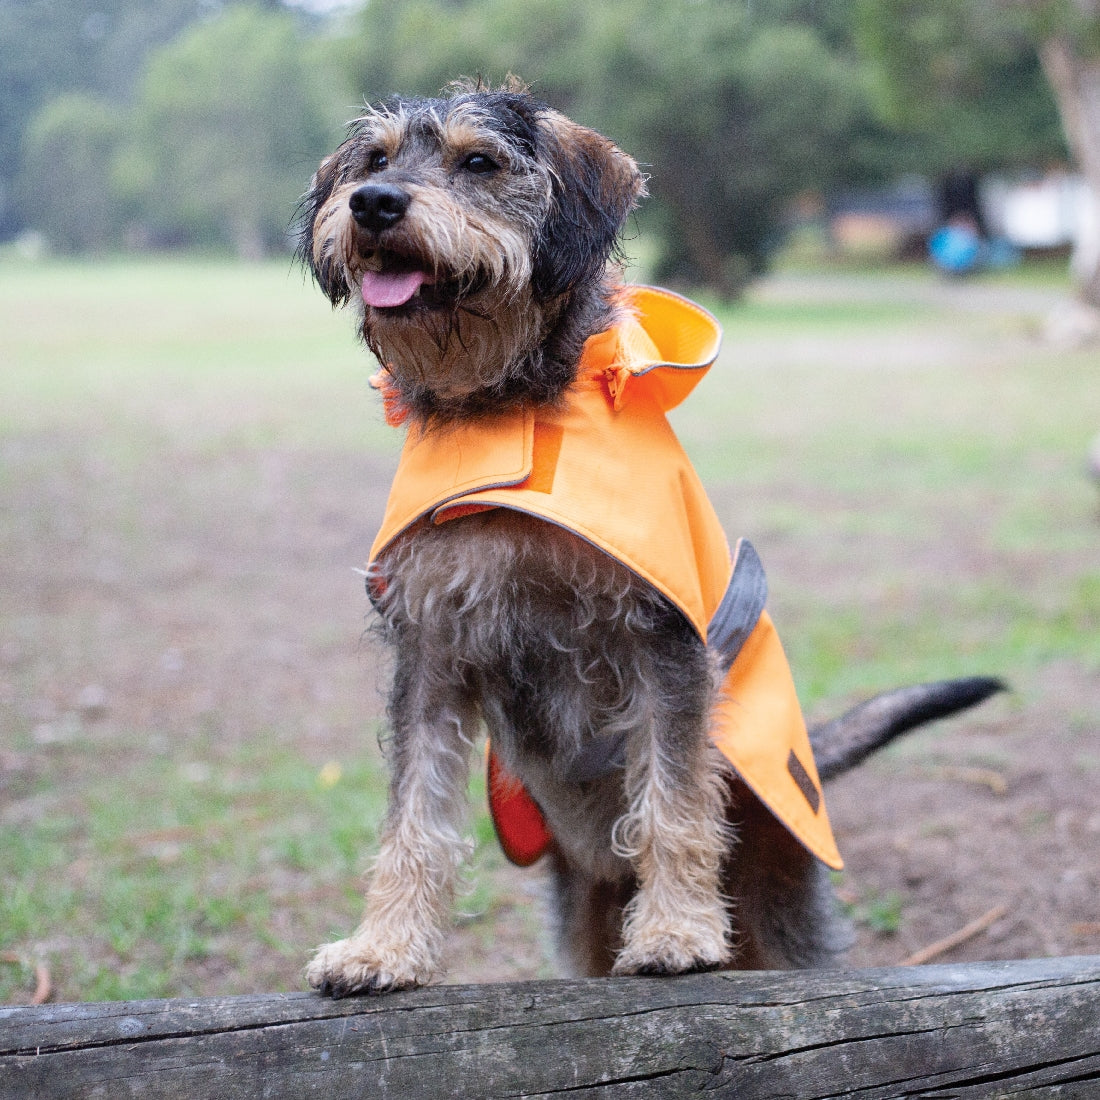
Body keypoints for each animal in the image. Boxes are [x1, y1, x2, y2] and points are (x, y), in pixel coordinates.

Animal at [297, 79, 1003, 998]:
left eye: (478, 162)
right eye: (374, 160)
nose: (375, 203)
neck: (509, 405)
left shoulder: (657, 639)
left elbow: (671, 798)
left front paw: (675, 931)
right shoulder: (430, 654)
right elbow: (413, 816)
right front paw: (383, 948)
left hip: (779, 899)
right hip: (581, 914)